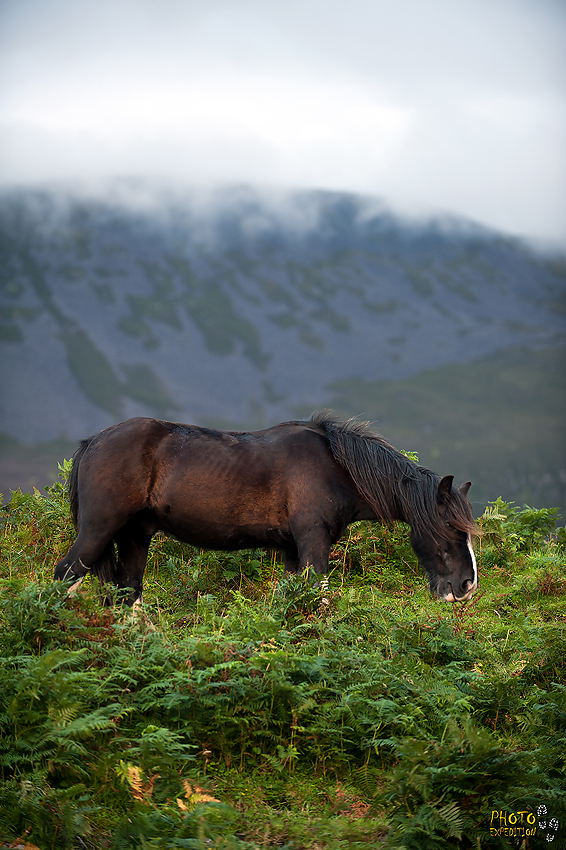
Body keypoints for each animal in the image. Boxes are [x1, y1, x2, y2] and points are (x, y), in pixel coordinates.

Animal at [53, 410, 480, 604]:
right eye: (451, 528)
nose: (467, 585)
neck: (335, 466)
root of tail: (92, 442)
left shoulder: (292, 550)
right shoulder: (313, 542)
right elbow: (319, 597)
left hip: (135, 537)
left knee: (129, 595)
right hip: (98, 531)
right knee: (64, 576)